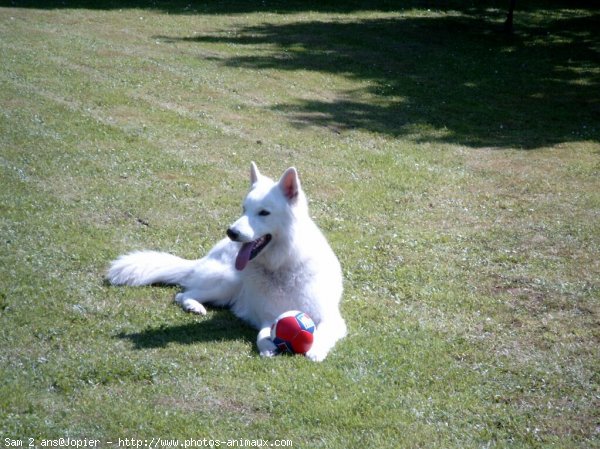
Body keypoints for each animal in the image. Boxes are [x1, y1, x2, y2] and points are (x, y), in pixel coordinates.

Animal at [105, 163, 344, 358]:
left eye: (264, 213)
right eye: (244, 209)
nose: (231, 232)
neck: (282, 265)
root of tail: (204, 257)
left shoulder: (331, 318)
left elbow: (322, 331)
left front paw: (315, 350)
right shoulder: (268, 319)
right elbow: (262, 335)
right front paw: (267, 347)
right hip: (228, 282)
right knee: (183, 294)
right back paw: (194, 306)